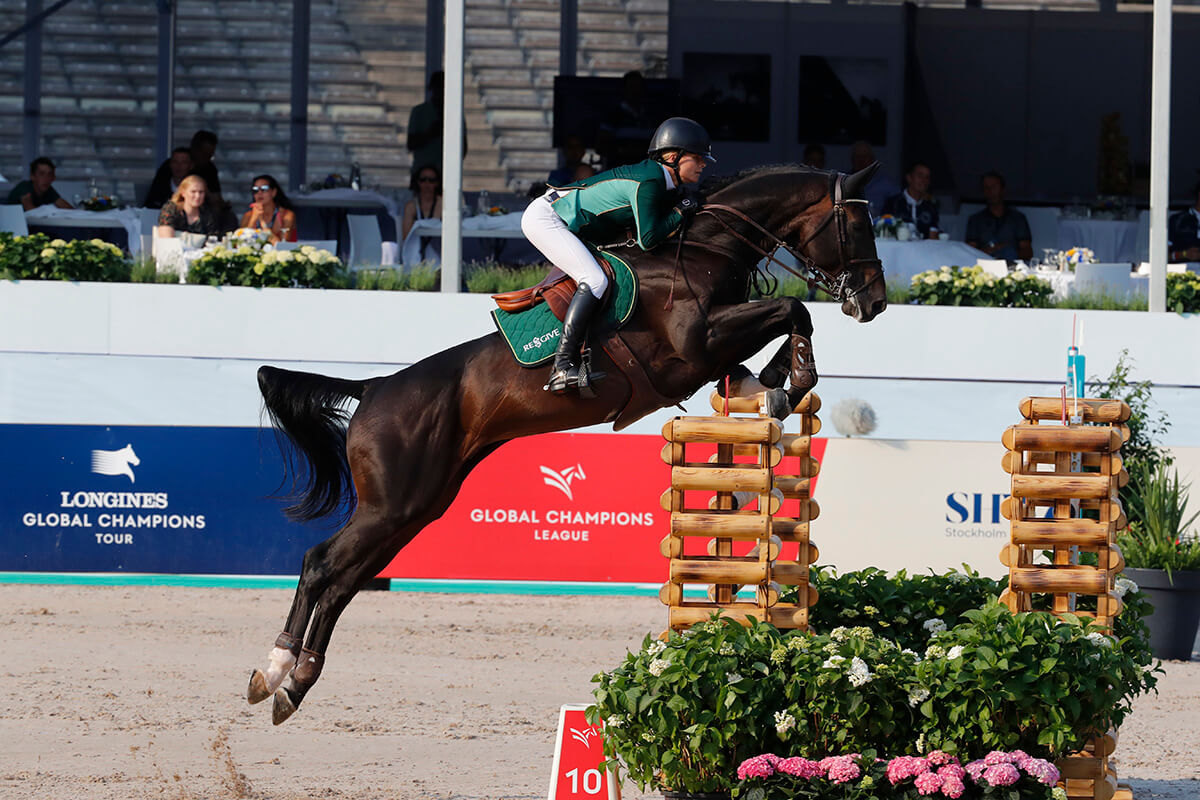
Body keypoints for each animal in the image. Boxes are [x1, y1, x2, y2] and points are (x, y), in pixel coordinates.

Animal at [248, 163, 888, 724]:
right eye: (858, 225)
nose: (875, 302)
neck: (706, 247)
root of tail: (373, 387)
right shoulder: (698, 341)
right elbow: (793, 308)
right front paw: (792, 379)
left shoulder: (711, 353)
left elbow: (766, 343)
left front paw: (774, 386)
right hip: (392, 505)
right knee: (320, 564)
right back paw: (274, 669)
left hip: (413, 508)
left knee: (343, 580)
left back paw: (294, 685)